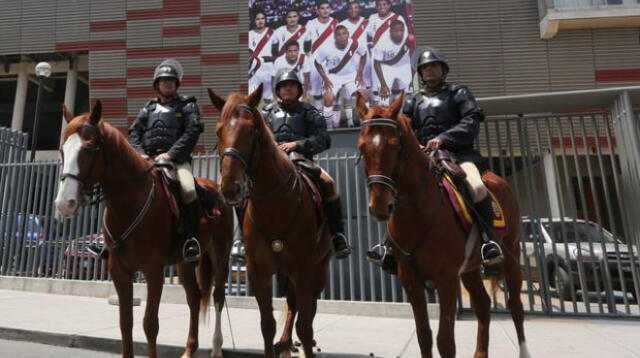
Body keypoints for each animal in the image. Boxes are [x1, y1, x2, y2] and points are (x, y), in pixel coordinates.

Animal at [54, 101, 235, 358]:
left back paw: (217, 347)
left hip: (219, 255)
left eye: (88, 148)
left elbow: (150, 323)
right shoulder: (119, 270)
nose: (64, 203)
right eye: (62, 150)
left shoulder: (153, 270)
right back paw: (189, 349)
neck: (130, 202)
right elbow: (125, 322)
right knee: (194, 297)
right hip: (184, 263)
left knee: (218, 296)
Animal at [208, 84, 332, 358]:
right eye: (219, 130)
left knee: (306, 310)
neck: (276, 205)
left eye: (250, 130)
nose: (230, 187)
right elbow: (267, 324)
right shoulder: (258, 272)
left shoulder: (304, 269)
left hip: (319, 269)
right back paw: (285, 343)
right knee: (293, 306)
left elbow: (305, 325)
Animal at [356, 90, 528, 358]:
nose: (380, 205)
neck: (417, 213)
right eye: (362, 147)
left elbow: (445, 341)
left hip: (511, 253)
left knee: (516, 307)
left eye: (394, 146)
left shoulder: (446, 279)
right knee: (483, 304)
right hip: (470, 269)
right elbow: (424, 336)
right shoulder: (411, 281)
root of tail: (499, 180)